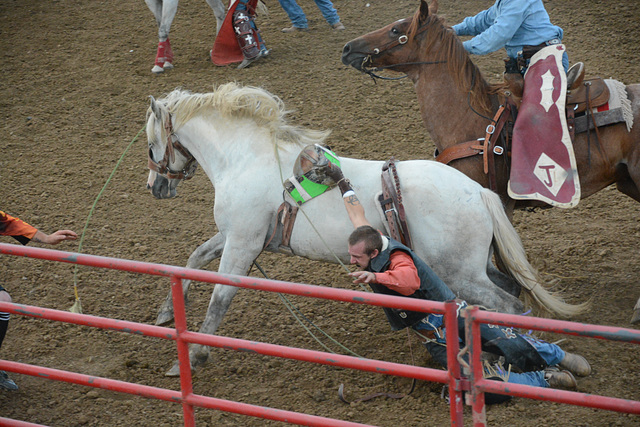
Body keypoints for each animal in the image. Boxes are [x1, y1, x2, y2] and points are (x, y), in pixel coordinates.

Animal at [148, 82, 588, 376]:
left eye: (151, 143)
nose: (155, 186)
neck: (246, 157)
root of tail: (478, 192)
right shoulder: (234, 237)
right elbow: (192, 260)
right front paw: (167, 312)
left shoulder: (241, 243)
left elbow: (220, 298)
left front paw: (193, 356)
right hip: (473, 268)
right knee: (506, 292)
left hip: (461, 272)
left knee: (507, 305)